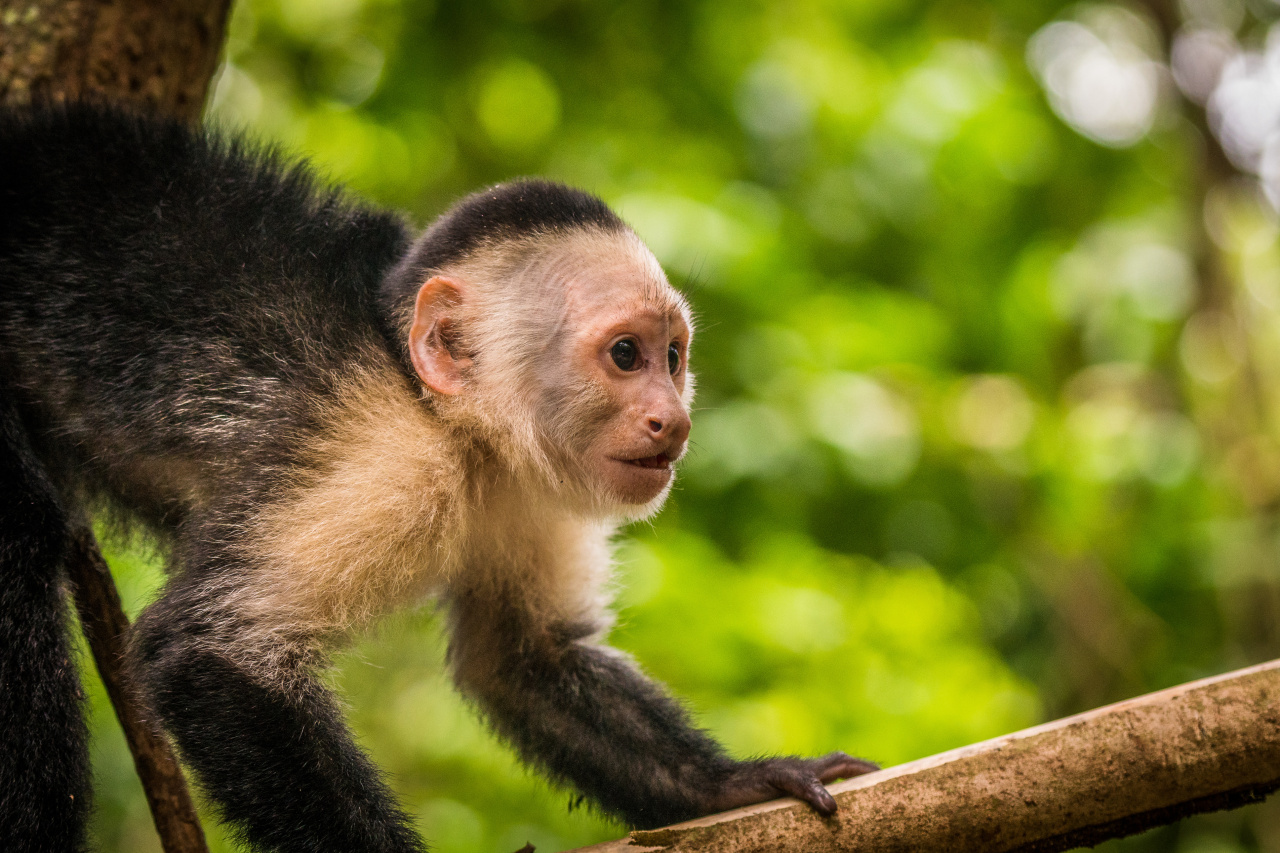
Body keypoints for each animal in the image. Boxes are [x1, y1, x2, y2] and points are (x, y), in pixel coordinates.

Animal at [0, 103, 877, 853]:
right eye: (626, 355)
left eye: (673, 357)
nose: (675, 419)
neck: (455, 428)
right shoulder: (381, 458)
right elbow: (211, 652)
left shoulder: (530, 490)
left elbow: (524, 658)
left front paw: (735, 782)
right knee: (22, 534)